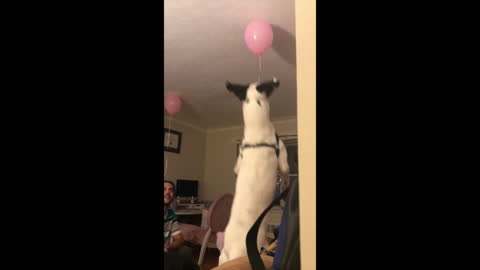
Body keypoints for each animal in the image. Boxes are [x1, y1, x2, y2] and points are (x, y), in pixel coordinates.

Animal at [219, 77, 290, 264]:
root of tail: (232, 252)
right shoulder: (282, 154)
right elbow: (286, 170)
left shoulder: (238, 161)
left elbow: (236, 168)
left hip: (222, 257)